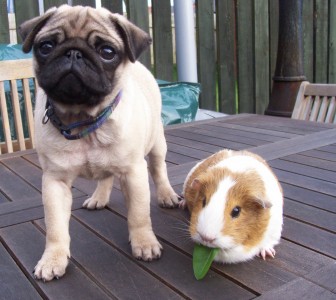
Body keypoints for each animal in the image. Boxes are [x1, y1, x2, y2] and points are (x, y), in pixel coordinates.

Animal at [19, 4, 180, 282]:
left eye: (107, 52)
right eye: (46, 46)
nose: (73, 52)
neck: (82, 118)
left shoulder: (134, 173)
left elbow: (139, 214)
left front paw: (144, 243)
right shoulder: (55, 181)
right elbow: (55, 227)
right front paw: (53, 259)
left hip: (157, 145)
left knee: (159, 171)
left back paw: (167, 195)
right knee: (105, 176)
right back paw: (99, 197)